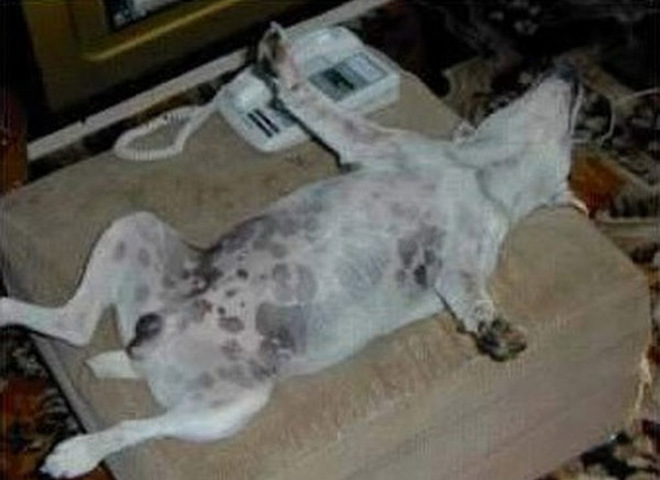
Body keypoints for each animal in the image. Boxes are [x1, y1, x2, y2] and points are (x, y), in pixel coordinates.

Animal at [0, 25, 586, 478]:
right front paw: (281, 62)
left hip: (229, 406)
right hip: (133, 229)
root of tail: (150, 346)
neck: (476, 172)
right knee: (78, 327)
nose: (572, 71)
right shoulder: (367, 142)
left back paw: (77, 447)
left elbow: (471, 297)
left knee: (129, 411)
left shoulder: (461, 266)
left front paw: (494, 328)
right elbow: (313, 102)